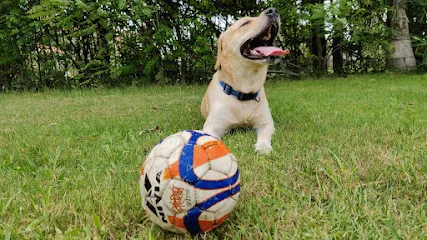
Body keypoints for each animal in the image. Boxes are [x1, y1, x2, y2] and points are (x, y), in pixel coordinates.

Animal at [201, 7, 290, 155]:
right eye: (245, 23)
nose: (273, 10)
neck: (244, 90)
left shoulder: (265, 123)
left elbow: (265, 133)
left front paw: (263, 146)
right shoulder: (212, 125)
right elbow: (211, 139)